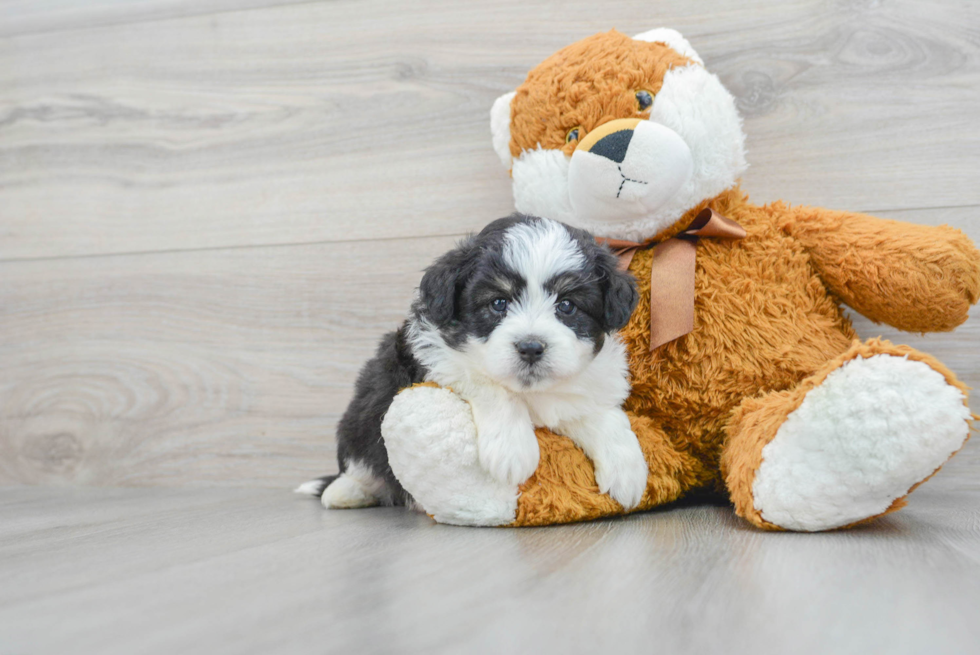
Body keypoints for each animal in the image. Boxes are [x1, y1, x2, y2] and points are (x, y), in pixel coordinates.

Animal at [298, 215, 652, 512]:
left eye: (567, 305)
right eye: (498, 303)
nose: (531, 348)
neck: (530, 392)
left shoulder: (582, 388)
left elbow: (603, 415)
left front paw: (628, 471)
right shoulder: (435, 359)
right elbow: (489, 384)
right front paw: (512, 450)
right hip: (364, 411)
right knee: (361, 460)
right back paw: (346, 491)